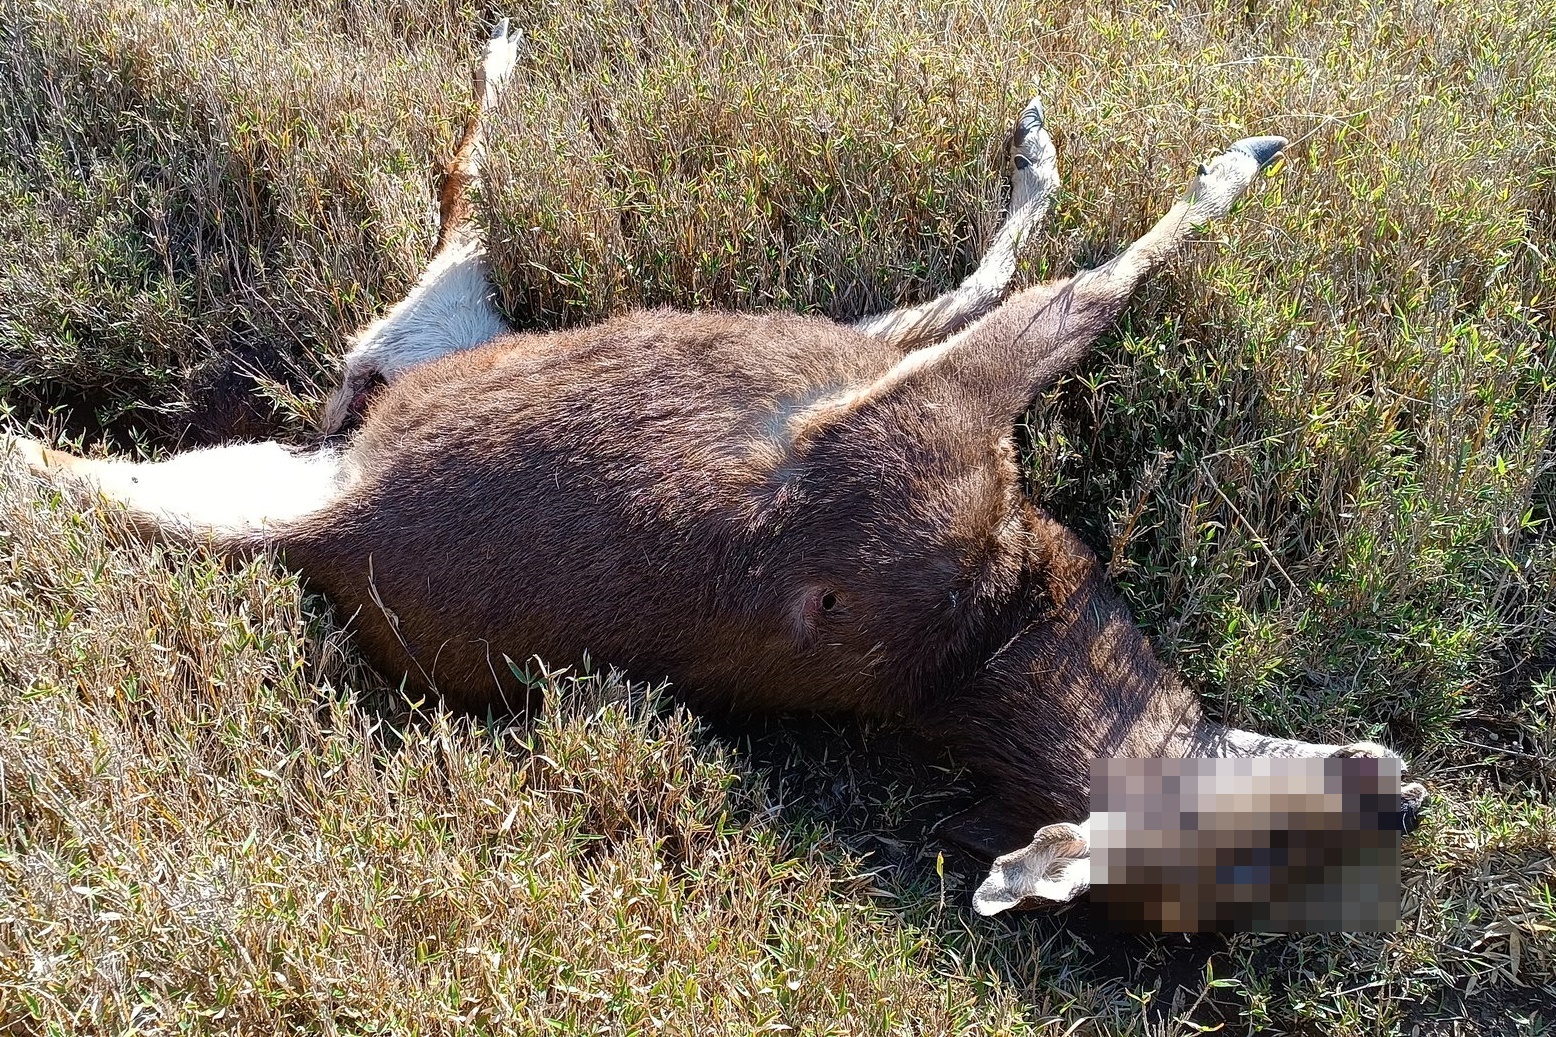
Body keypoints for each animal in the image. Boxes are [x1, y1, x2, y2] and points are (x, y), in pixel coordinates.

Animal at [5, 20, 1424, 915]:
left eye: (1253, 873)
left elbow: (1044, 282)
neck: (1000, 611)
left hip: (347, 391)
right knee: (462, 178)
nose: (1403, 797)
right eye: (1264, 837)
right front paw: (1200, 152)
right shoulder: (912, 404)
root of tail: (325, 510)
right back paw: (507, 42)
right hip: (437, 330)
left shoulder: (898, 403)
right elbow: (1078, 278)